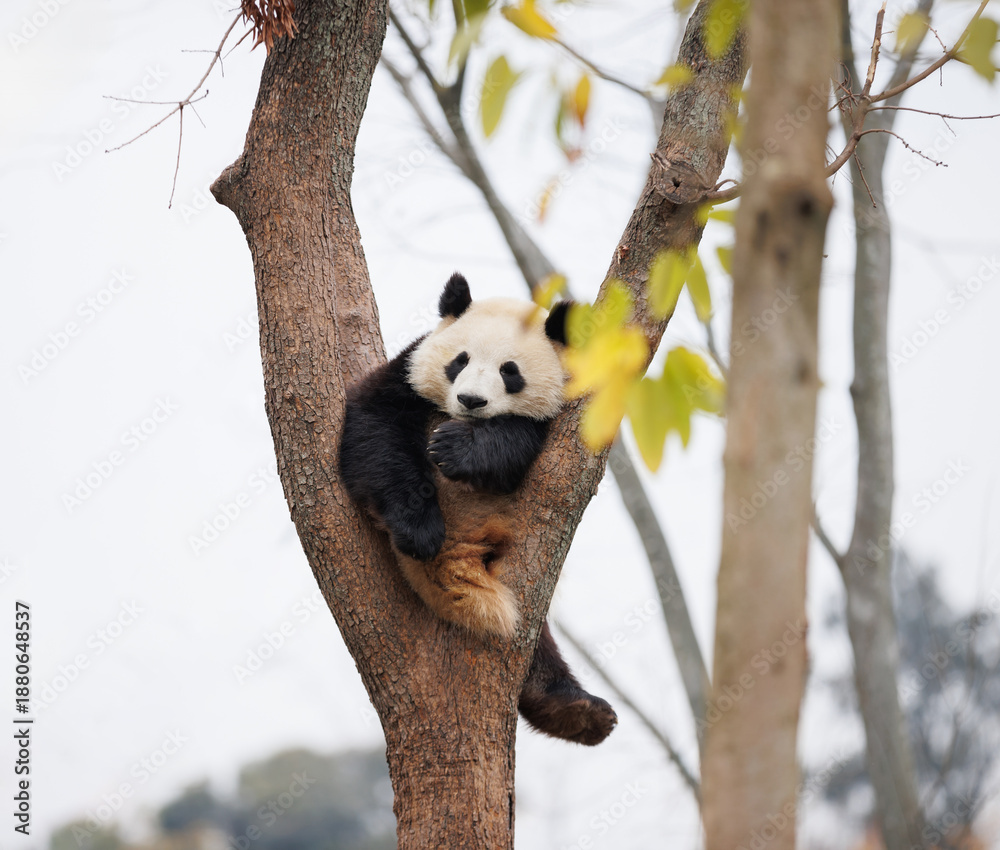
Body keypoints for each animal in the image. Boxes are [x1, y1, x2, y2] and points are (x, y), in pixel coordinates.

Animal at [339, 272, 617, 746]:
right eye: (459, 360)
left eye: (510, 371)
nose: (470, 401)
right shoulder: (407, 374)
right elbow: (374, 427)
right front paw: (420, 531)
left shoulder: (566, 425)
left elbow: (519, 440)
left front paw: (460, 448)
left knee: (538, 641)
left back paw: (578, 711)